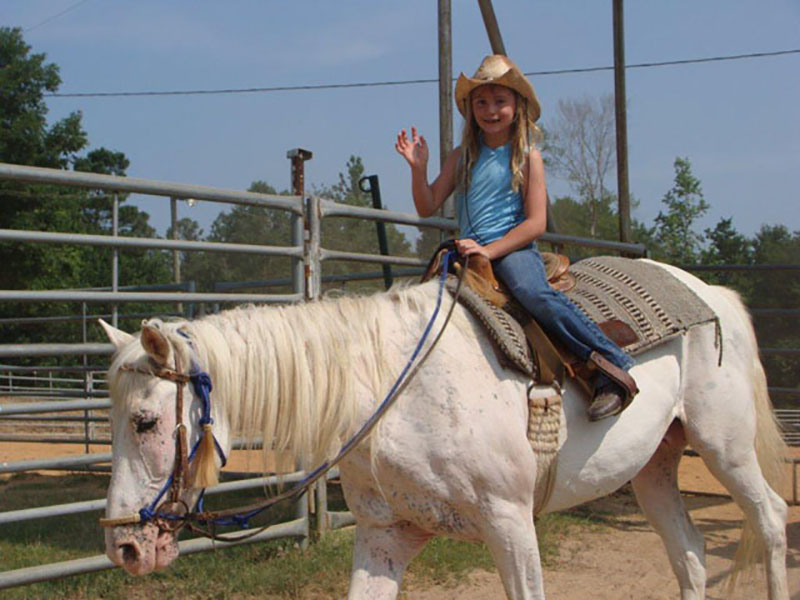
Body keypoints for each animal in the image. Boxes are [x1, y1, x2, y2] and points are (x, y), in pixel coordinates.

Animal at [98, 259, 789, 600]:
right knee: (690, 556)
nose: (123, 547)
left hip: (725, 447)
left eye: (146, 420)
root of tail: (711, 293)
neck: (393, 391)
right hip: (653, 468)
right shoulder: (387, 536)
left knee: (771, 519)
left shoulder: (512, 526)